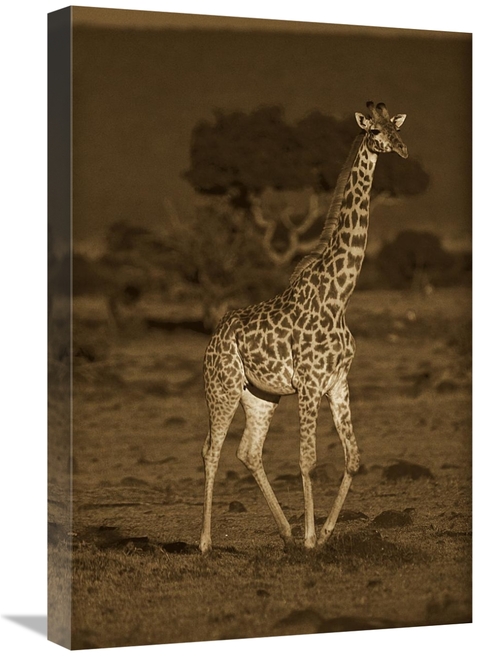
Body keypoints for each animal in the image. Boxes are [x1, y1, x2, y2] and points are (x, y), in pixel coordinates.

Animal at [200, 101, 408, 553]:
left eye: (396, 127)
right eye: (374, 131)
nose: (401, 149)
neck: (339, 295)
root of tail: (213, 338)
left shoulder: (338, 382)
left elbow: (353, 457)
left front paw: (324, 533)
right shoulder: (310, 385)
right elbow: (307, 460)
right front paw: (313, 538)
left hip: (260, 395)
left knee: (248, 451)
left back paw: (286, 532)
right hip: (222, 388)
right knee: (211, 450)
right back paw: (205, 543)